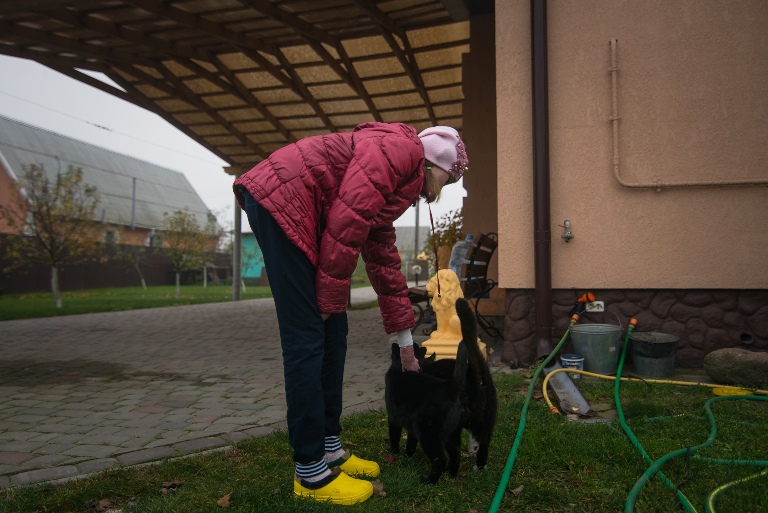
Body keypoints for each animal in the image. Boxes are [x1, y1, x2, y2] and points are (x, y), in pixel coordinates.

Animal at [384, 338, 468, 482]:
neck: (400, 369)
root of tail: (450, 387)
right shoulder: (412, 427)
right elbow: (411, 443)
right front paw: (408, 456)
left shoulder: (393, 419)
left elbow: (394, 437)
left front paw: (394, 452)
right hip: (450, 434)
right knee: (456, 453)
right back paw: (450, 474)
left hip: (428, 435)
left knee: (440, 458)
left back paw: (428, 481)